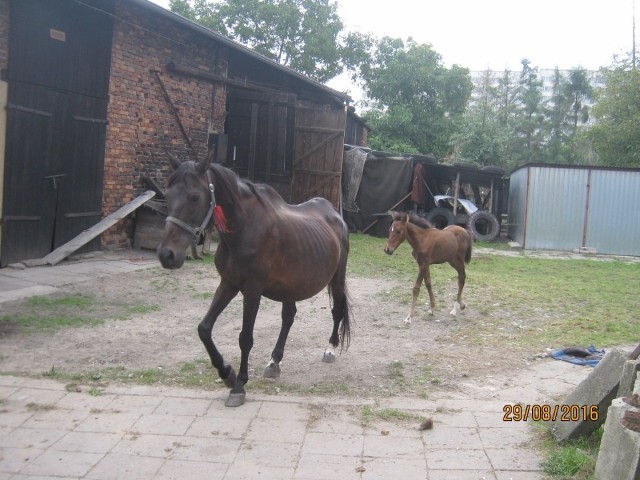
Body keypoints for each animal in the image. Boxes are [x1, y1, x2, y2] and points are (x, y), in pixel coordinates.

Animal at [158, 150, 352, 404]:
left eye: (194, 197)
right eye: (167, 195)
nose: (166, 255)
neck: (244, 228)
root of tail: (335, 215)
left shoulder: (252, 290)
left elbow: (245, 338)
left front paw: (239, 385)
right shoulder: (228, 283)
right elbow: (204, 328)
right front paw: (226, 373)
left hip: (336, 279)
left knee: (337, 310)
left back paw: (329, 349)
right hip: (291, 285)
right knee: (288, 317)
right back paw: (274, 362)